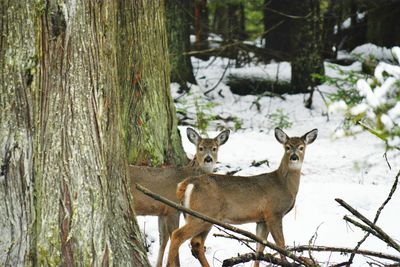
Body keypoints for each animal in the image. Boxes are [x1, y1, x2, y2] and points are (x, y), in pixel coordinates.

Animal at [130, 127, 230, 267]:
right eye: (200, 148)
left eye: (215, 148)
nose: (208, 159)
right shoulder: (172, 207)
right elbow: (173, 236)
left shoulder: (162, 211)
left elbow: (163, 240)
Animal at [166, 127, 316, 267]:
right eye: (287, 147)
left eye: (302, 147)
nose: (294, 157)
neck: (284, 185)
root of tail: (187, 184)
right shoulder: (274, 213)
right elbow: (281, 245)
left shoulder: (262, 219)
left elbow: (259, 249)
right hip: (203, 213)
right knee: (177, 235)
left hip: (204, 217)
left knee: (196, 243)